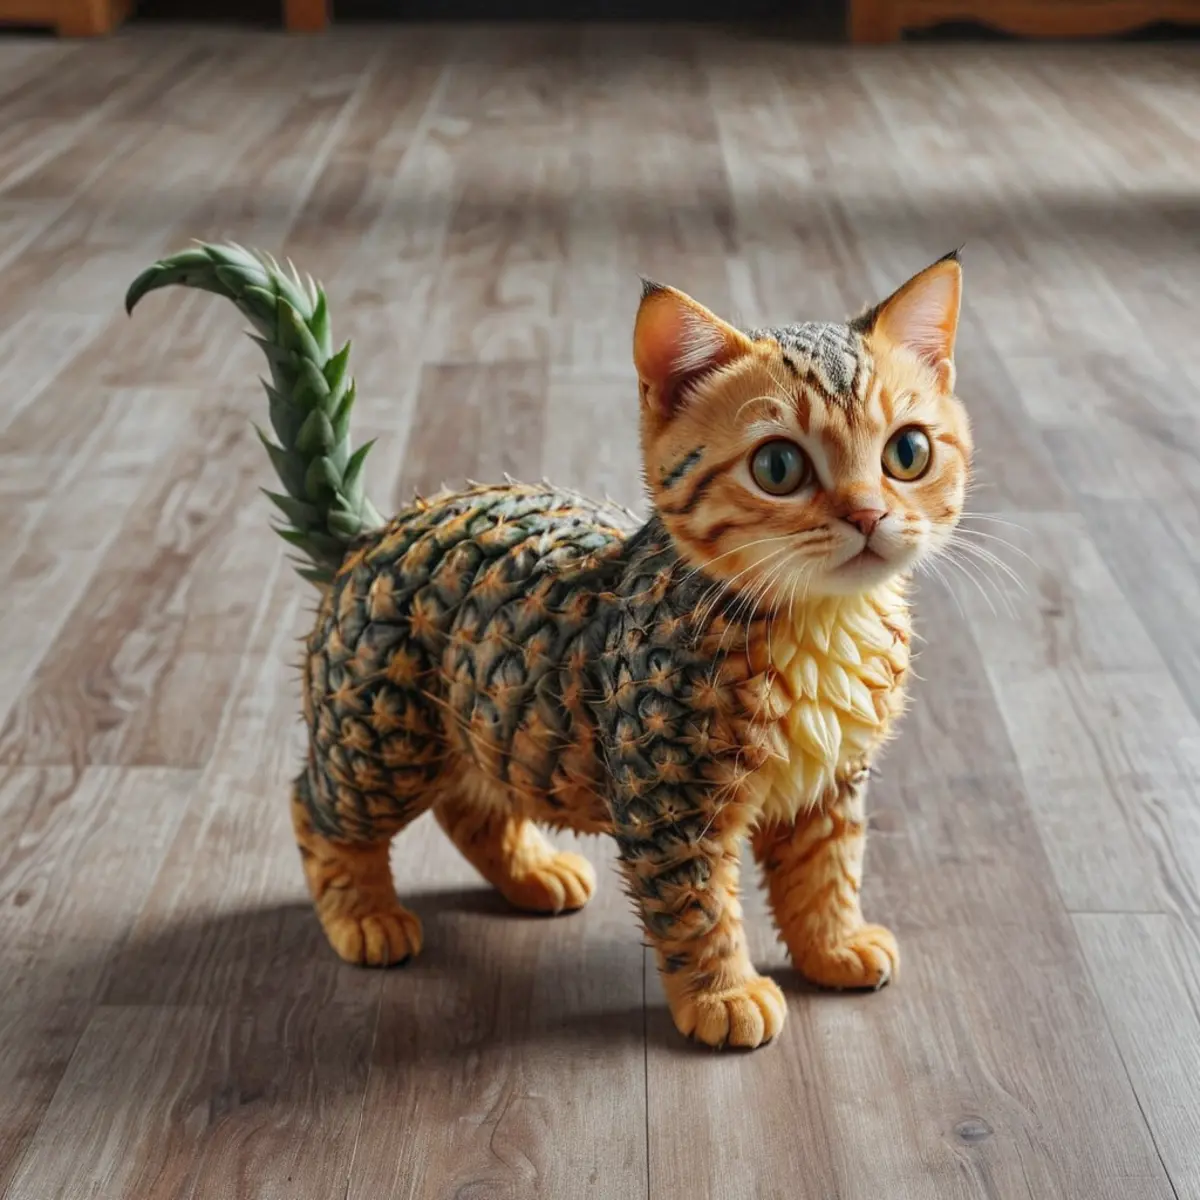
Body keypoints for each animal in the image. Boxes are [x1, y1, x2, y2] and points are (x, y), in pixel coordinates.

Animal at [126, 246, 964, 1051]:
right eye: (779, 467)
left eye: (908, 453)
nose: (867, 515)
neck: (823, 625)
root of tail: (371, 533)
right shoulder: (669, 795)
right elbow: (696, 906)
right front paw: (723, 996)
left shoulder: (832, 786)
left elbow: (826, 874)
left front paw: (835, 947)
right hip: (381, 732)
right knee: (316, 806)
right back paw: (364, 917)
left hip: (485, 719)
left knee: (471, 808)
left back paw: (535, 873)